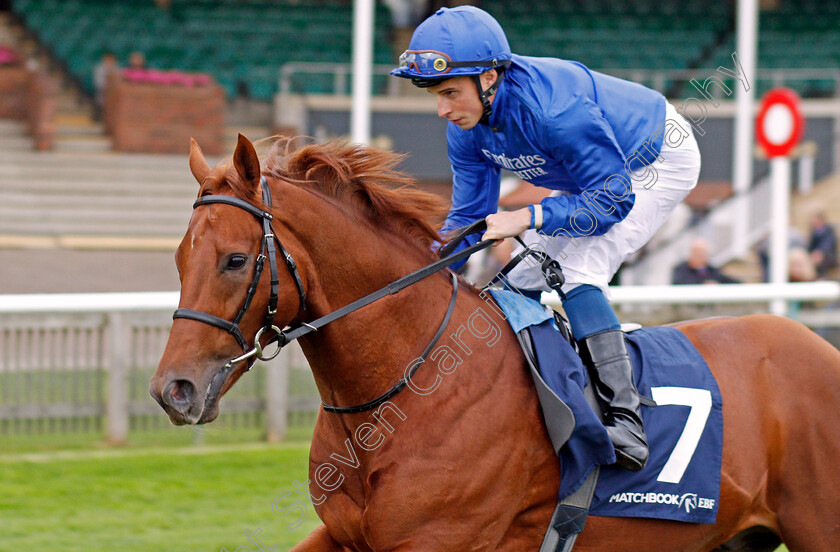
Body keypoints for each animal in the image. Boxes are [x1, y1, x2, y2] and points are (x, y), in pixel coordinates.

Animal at [153, 135, 840, 552]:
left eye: (235, 260)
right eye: (180, 258)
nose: (172, 391)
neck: (409, 386)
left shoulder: (436, 539)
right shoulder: (349, 534)